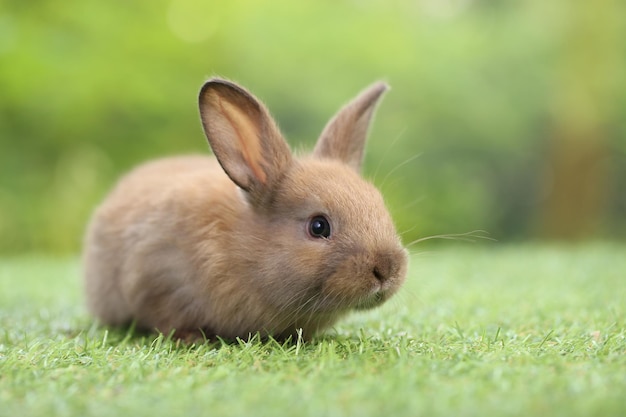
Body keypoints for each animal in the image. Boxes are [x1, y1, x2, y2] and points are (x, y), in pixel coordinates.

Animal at [80, 78, 408, 342]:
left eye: (380, 206)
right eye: (319, 226)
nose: (387, 268)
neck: (244, 250)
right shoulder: (156, 275)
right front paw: (190, 338)